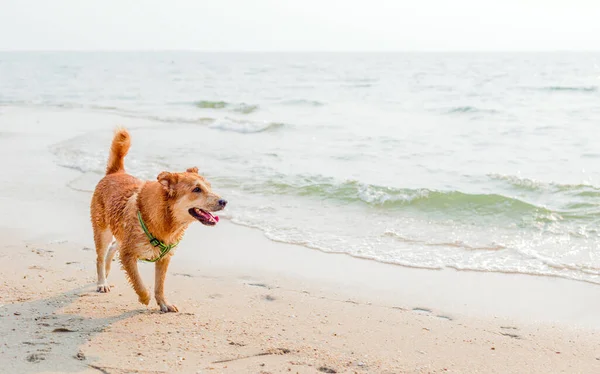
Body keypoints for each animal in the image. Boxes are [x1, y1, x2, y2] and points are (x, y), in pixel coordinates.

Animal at [90, 129, 226, 312]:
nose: (224, 201)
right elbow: (138, 282)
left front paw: (163, 303)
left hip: (120, 233)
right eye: (197, 189)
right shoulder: (128, 255)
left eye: (210, 186)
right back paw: (102, 282)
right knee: (100, 256)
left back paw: (107, 270)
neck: (165, 219)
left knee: (112, 248)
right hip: (102, 230)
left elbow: (159, 285)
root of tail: (116, 172)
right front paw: (144, 297)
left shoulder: (164, 257)